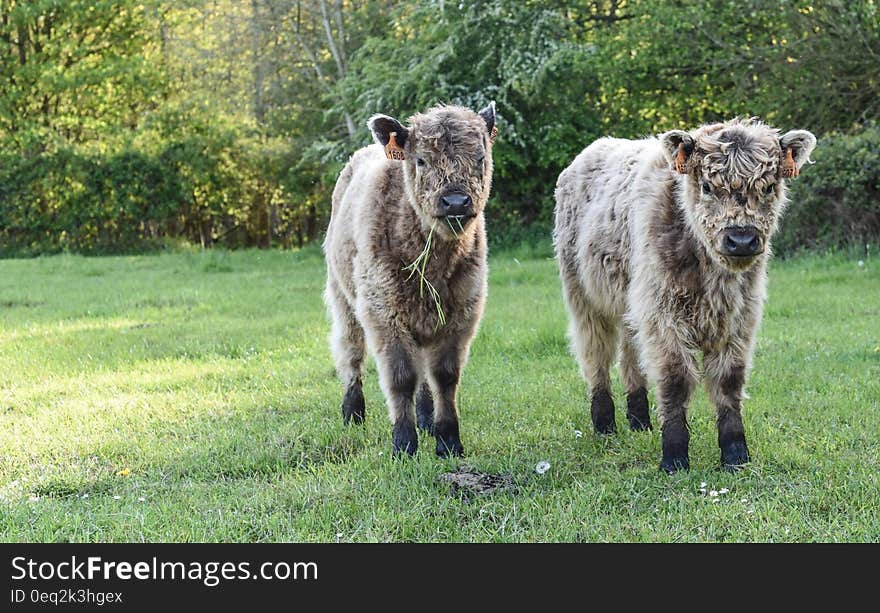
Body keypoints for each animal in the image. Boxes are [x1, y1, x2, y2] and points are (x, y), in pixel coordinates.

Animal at [324, 103, 502, 454]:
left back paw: (426, 418)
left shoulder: (463, 311)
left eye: (480, 158)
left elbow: (444, 375)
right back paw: (353, 412)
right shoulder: (383, 312)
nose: (456, 202)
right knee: (351, 352)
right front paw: (404, 444)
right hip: (343, 297)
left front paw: (448, 439)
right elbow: (401, 377)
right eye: (420, 160)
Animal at [556, 119, 820, 474]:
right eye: (707, 186)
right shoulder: (663, 314)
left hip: (630, 303)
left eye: (767, 187)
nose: (741, 239)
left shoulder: (740, 318)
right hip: (583, 296)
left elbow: (729, 381)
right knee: (595, 354)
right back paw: (605, 424)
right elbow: (675, 379)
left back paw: (639, 420)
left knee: (630, 355)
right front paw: (674, 456)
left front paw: (735, 454)